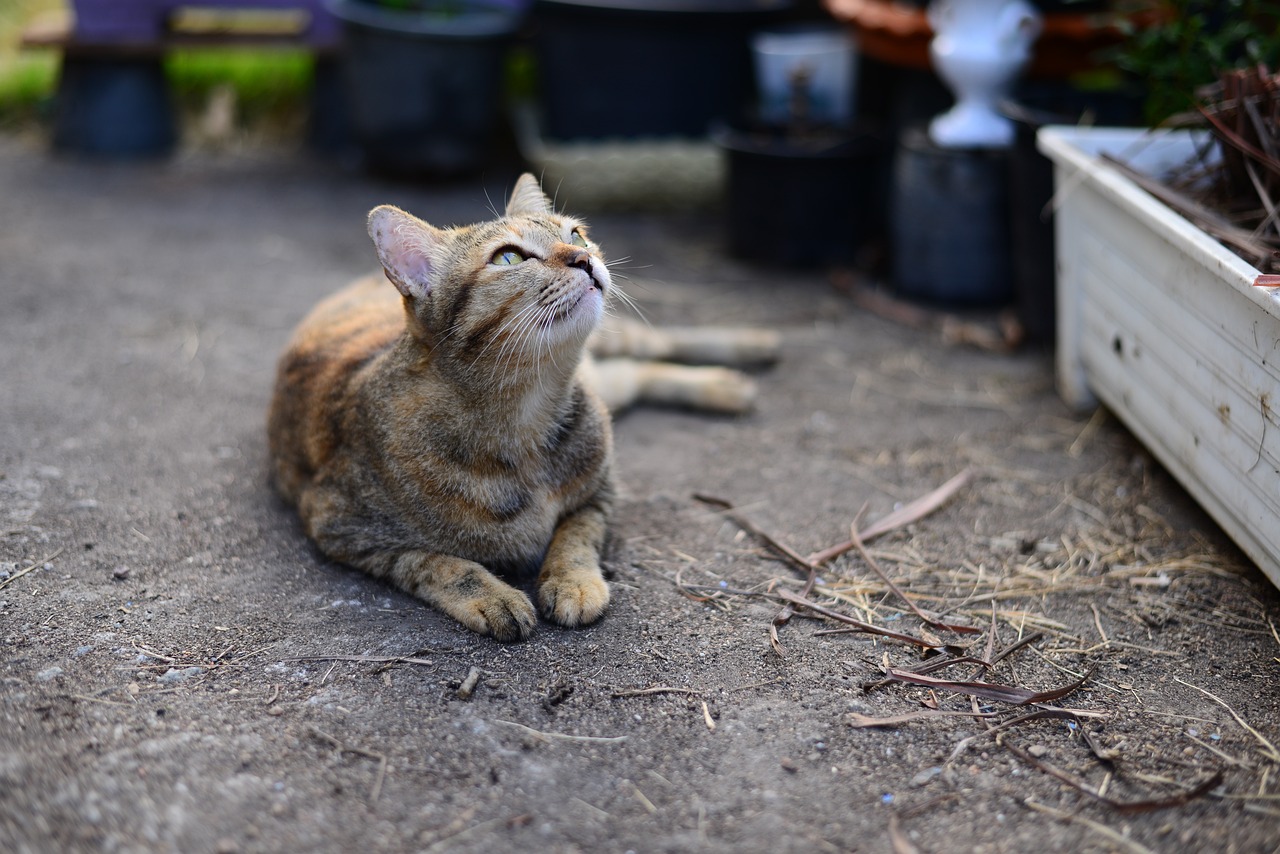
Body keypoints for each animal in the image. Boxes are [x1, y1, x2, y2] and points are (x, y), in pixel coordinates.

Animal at [270, 175, 778, 640]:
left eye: (575, 234)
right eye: (509, 258)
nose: (585, 258)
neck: (526, 414)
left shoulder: (602, 491)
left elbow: (576, 534)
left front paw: (572, 581)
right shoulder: (337, 525)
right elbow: (435, 562)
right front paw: (494, 596)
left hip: (620, 343)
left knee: (658, 343)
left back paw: (747, 354)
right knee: (636, 371)